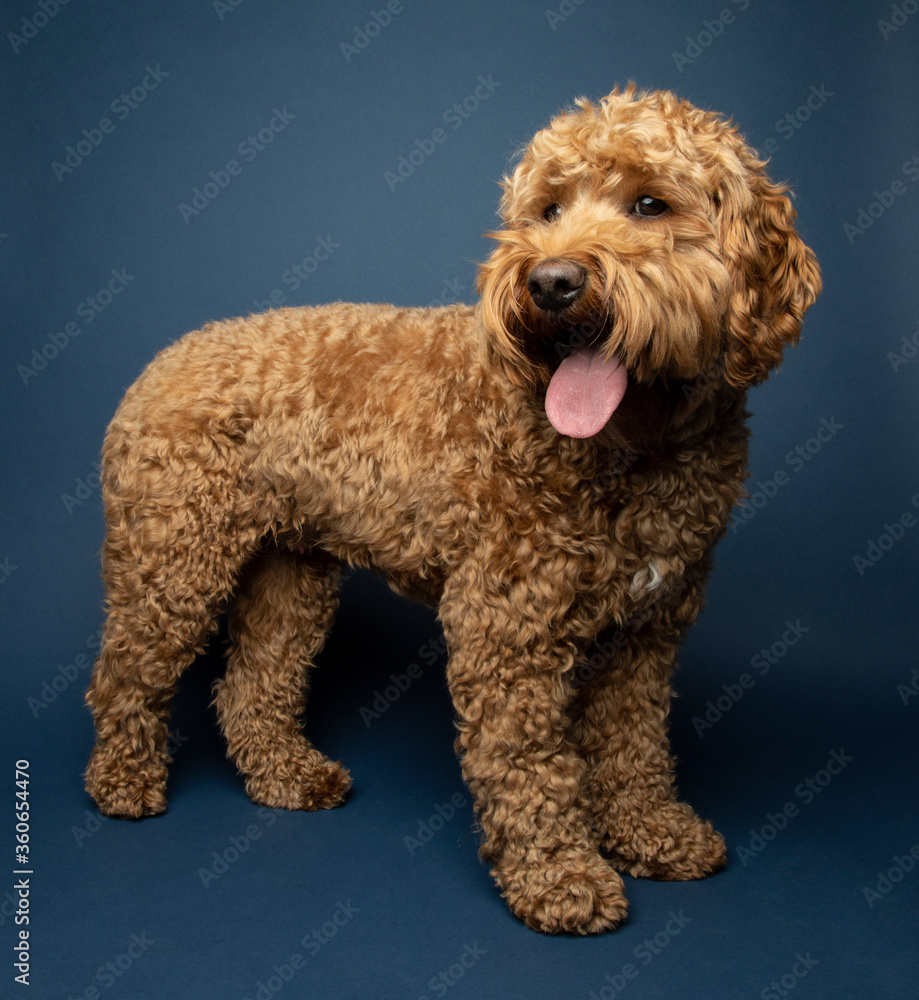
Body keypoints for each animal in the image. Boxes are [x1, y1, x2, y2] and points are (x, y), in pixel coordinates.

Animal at [86, 88, 820, 936]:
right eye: (546, 208)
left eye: (649, 204)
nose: (551, 282)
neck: (636, 447)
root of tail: (163, 358)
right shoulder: (505, 628)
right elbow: (530, 765)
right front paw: (558, 876)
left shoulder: (647, 633)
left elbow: (632, 744)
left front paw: (648, 832)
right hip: (173, 560)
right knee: (126, 672)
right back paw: (122, 781)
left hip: (290, 572)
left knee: (253, 681)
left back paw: (285, 775)